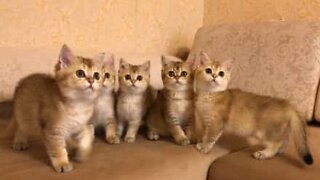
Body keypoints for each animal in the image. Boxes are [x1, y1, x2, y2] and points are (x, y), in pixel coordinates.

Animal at [7, 44, 105, 172]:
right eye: (80, 73)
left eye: (97, 75)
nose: (92, 81)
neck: (79, 105)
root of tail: (22, 81)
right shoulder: (53, 130)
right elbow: (58, 149)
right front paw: (62, 163)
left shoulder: (78, 125)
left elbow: (87, 135)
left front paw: (82, 153)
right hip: (25, 117)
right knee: (21, 127)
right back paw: (20, 141)